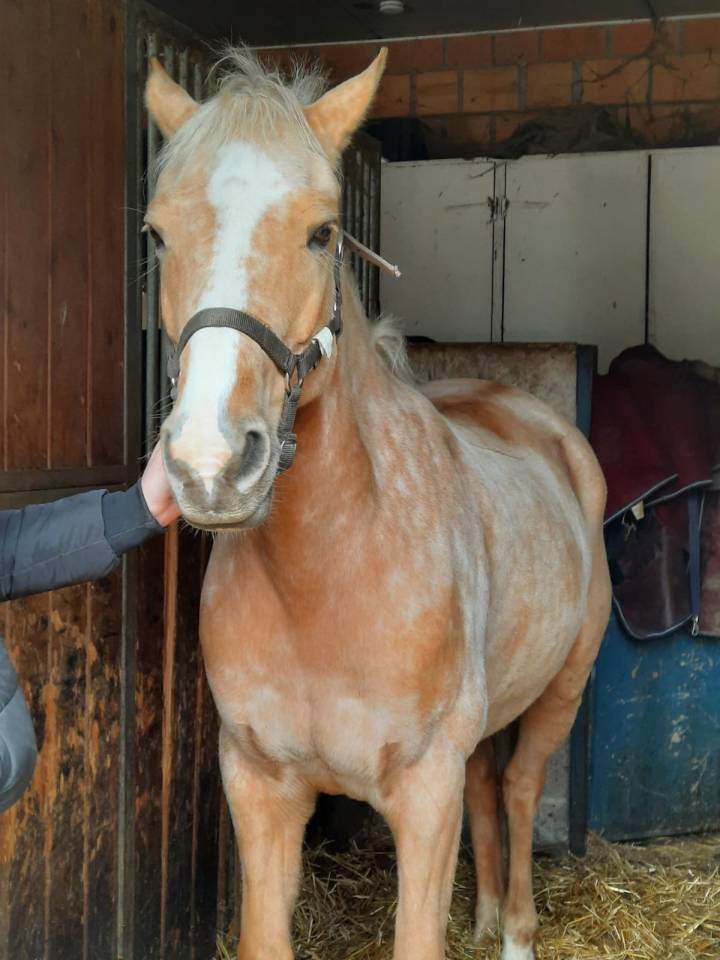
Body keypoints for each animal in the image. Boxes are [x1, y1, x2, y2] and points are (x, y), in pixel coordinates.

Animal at [145, 47, 611, 960]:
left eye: (323, 231)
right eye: (156, 233)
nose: (210, 464)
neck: (326, 575)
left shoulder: (423, 799)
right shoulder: (259, 788)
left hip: (565, 688)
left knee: (519, 785)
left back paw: (515, 931)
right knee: (487, 785)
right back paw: (487, 914)